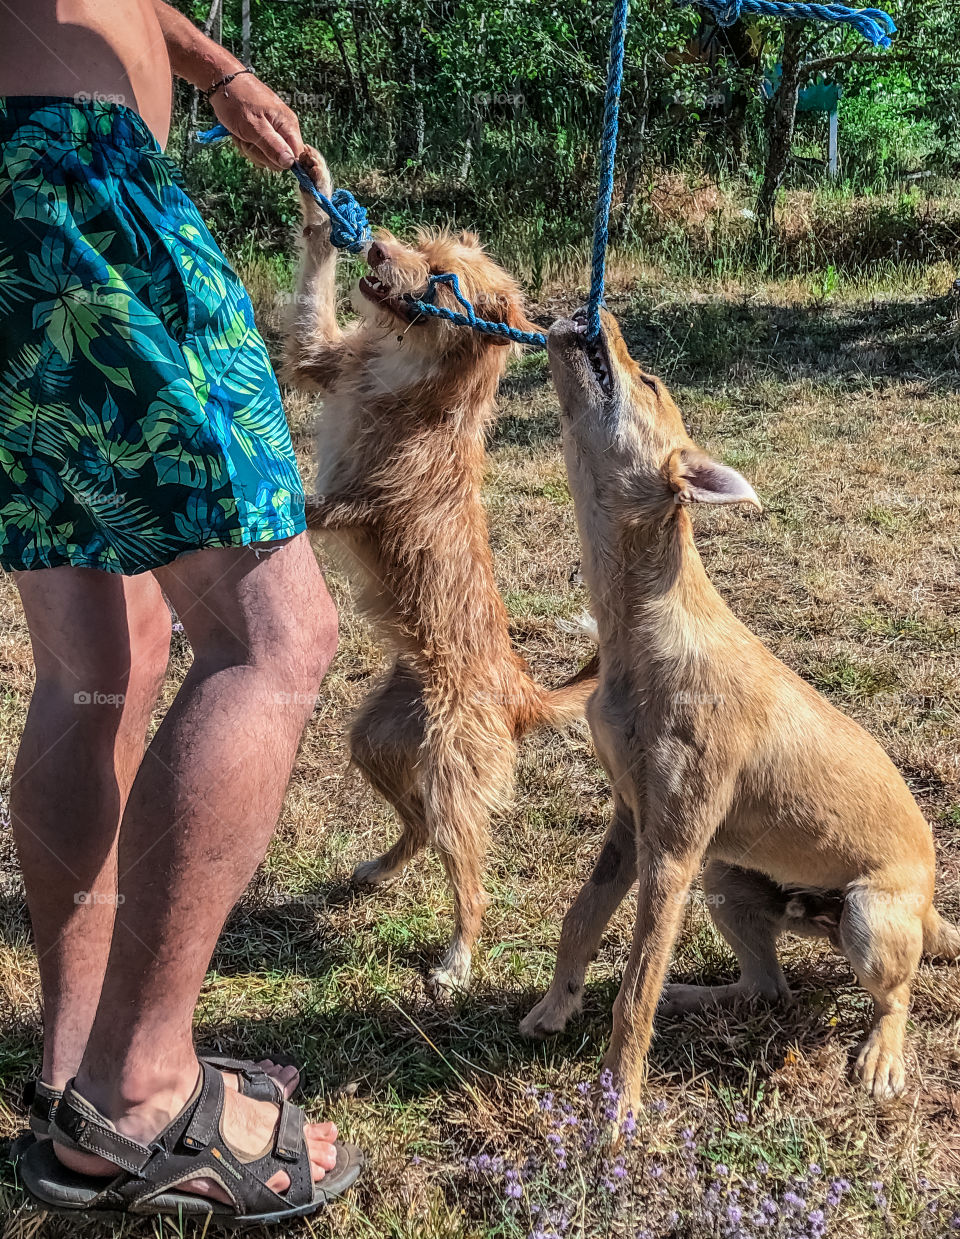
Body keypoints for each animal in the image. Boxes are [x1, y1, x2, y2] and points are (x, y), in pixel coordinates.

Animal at [281, 147, 597, 996]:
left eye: (442, 281)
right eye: (420, 248)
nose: (375, 248)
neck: (404, 373)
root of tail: (520, 694)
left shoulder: (362, 505)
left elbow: (305, 500)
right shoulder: (322, 356)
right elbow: (310, 301)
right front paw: (318, 194)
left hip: (455, 775)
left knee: (469, 875)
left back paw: (457, 957)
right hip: (375, 738)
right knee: (418, 826)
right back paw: (378, 870)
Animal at [522, 307, 960, 1115]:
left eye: (650, 380)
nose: (603, 313)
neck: (643, 627)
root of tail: (928, 907)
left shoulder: (672, 848)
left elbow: (635, 989)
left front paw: (618, 1109)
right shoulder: (631, 820)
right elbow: (580, 921)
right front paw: (555, 1006)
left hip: (866, 917)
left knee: (898, 993)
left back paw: (882, 1056)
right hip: (727, 881)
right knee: (767, 986)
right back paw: (699, 995)